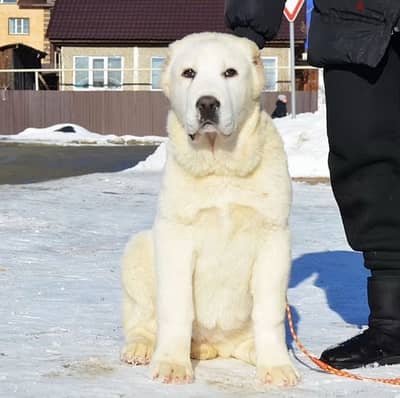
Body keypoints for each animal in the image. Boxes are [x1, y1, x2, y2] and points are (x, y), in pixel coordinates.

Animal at [120, 32, 298, 388]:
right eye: (189, 73)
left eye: (230, 72)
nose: (206, 103)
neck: (221, 167)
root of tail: (218, 346)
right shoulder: (175, 236)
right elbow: (177, 308)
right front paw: (172, 364)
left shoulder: (274, 238)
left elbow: (270, 313)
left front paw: (276, 365)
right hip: (138, 249)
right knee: (143, 321)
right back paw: (144, 348)